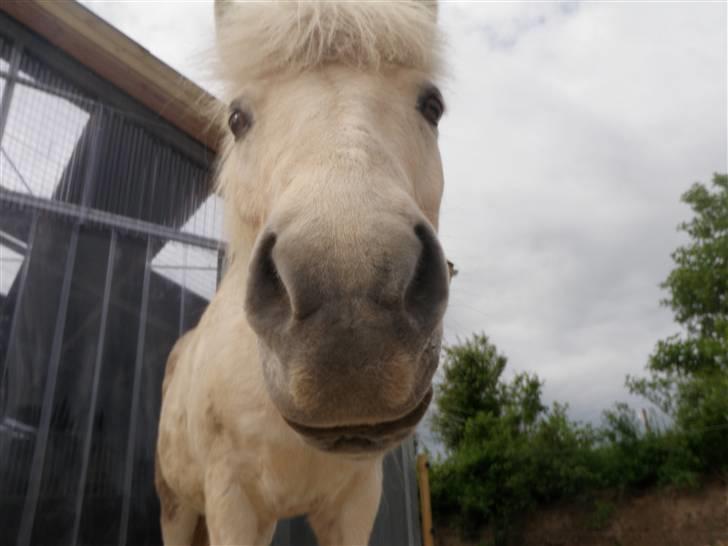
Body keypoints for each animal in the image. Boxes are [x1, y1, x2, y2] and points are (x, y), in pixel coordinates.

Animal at [156, 2, 446, 540]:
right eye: (237, 118)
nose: (350, 312)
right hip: (178, 506)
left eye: (432, 105)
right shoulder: (231, 500)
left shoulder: (356, 501)